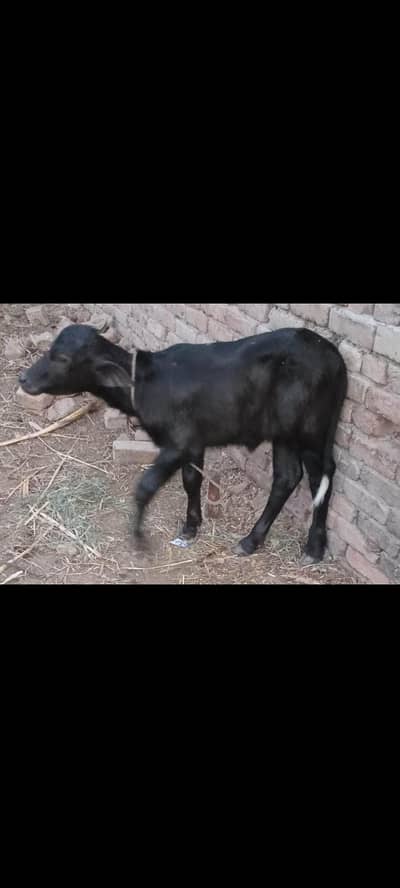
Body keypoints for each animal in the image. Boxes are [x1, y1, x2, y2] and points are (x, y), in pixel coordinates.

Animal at [19, 322, 347, 562]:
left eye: (62, 359)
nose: (24, 379)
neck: (146, 383)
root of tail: (333, 354)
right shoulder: (194, 445)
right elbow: (191, 480)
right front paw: (190, 527)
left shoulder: (177, 444)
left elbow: (146, 486)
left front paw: (139, 539)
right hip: (284, 434)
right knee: (287, 477)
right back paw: (251, 541)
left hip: (311, 430)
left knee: (321, 474)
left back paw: (314, 548)